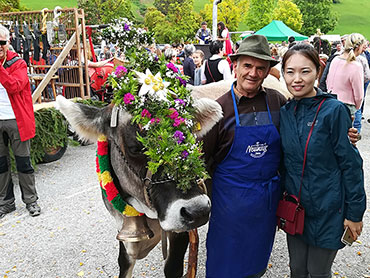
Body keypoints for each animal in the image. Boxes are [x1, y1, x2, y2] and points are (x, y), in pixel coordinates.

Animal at [55, 94, 223, 276]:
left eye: (190, 140)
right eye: (135, 148)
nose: (198, 210)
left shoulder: (180, 232)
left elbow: (171, 268)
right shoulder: (124, 229)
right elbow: (124, 262)